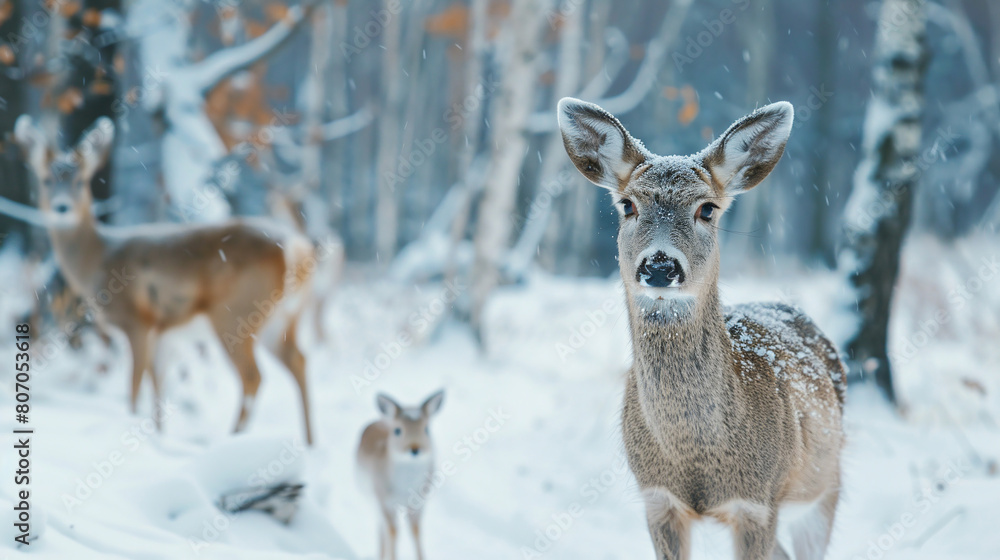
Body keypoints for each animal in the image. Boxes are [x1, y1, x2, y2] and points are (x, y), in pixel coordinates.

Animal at [13, 115, 317, 444]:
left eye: (80, 181)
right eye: (46, 180)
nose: (61, 208)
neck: (98, 258)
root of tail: (296, 247)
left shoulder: (136, 321)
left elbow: (135, 387)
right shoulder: (165, 331)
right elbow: (158, 389)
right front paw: (158, 438)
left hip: (236, 313)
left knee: (253, 376)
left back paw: (232, 438)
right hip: (284, 318)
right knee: (299, 360)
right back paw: (310, 443)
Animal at [356, 390, 445, 560]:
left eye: (427, 429)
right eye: (397, 430)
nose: (415, 448)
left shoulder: (418, 503)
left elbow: (416, 530)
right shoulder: (384, 501)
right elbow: (393, 531)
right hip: (372, 499)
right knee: (382, 529)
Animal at [557, 98, 846, 560]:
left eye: (707, 208)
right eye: (627, 205)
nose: (660, 265)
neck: (697, 463)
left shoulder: (759, 502)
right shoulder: (657, 498)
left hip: (825, 485)